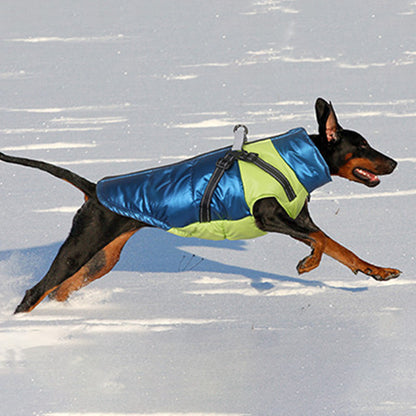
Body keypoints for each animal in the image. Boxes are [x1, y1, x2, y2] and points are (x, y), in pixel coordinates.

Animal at [1, 97, 402, 312]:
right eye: (362, 146)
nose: (396, 162)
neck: (299, 159)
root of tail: (94, 190)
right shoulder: (268, 216)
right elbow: (319, 244)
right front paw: (307, 264)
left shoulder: (300, 221)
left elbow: (339, 247)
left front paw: (377, 271)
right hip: (79, 249)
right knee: (35, 292)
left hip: (101, 259)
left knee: (58, 291)